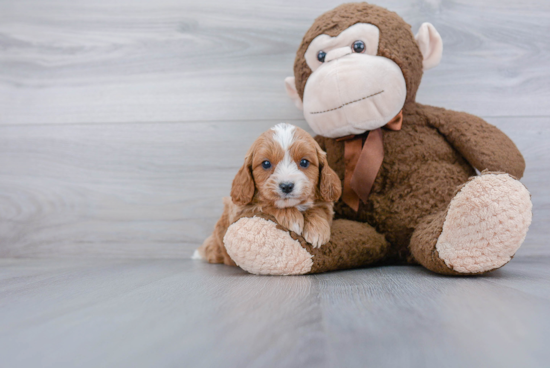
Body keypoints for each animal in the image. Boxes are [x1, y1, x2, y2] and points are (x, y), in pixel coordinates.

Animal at [196, 123, 342, 264]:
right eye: (266, 164)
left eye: (304, 162)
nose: (287, 186)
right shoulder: (240, 211)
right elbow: (266, 205)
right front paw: (292, 218)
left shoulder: (325, 202)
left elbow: (319, 210)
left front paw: (317, 230)